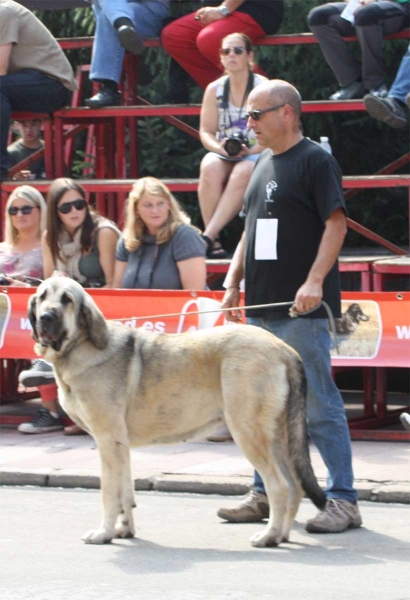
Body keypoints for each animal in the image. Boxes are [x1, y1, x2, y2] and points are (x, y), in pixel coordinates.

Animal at [27, 278, 326, 548]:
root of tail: (284, 349)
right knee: (295, 486)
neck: (80, 346)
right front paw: (124, 530)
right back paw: (282, 535)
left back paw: (268, 536)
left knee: (280, 487)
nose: (46, 317)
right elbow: (126, 491)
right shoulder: (120, 445)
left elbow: (109, 493)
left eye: (67, 300)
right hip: (277, 437)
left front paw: (103, 533)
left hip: (249, 432)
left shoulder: (107, 440)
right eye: (42, 297)